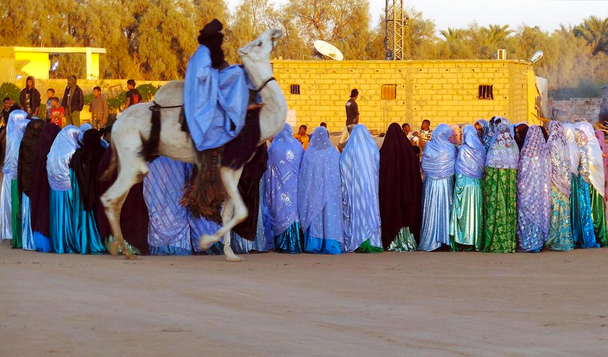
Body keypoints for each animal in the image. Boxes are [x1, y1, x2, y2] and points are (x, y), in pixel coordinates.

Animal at [100, 28, 288, 262]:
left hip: (129, 159)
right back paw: (125, 251)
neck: (258, 120)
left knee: (118, 198)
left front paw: (230, 254)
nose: (275, 32)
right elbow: (242, 212)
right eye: (259, 43)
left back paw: (117, 246)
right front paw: (205, 241)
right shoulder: (226, 166)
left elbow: (229, 211)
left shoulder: (236, 166)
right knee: (110, 197)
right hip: (130, 151)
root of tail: (116, 124)